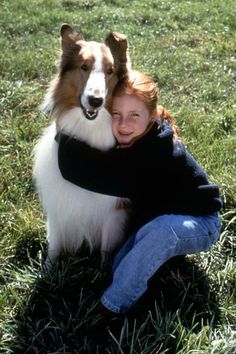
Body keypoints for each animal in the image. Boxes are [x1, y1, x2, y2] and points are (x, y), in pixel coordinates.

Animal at [32, 24, 131, 268]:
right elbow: (55, 245)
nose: (95, 101)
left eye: (110, 71)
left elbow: (106, 249)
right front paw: (48, 270)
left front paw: (104, 273)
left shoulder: (114, 211)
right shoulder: (59, 204)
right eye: (84, 67)